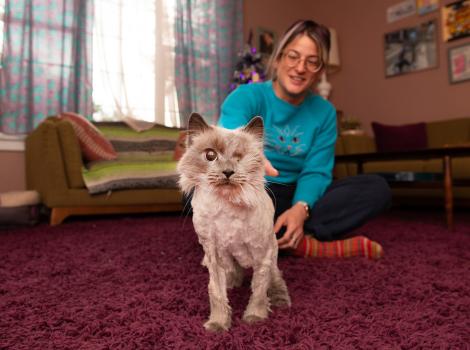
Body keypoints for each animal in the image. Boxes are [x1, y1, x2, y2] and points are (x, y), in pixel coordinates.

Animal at [178, 113, 292, 332]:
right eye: (210, 156)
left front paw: (255, 318)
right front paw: (218, 324)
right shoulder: (214, 255)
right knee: (234, 274)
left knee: (276, 277)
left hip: (271, 252)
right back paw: (233, 283)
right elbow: (216, 294)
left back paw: (280, 301)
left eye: (240, 158)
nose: (228, 172)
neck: (227, 208)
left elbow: (258, 291)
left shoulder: (261, 255)